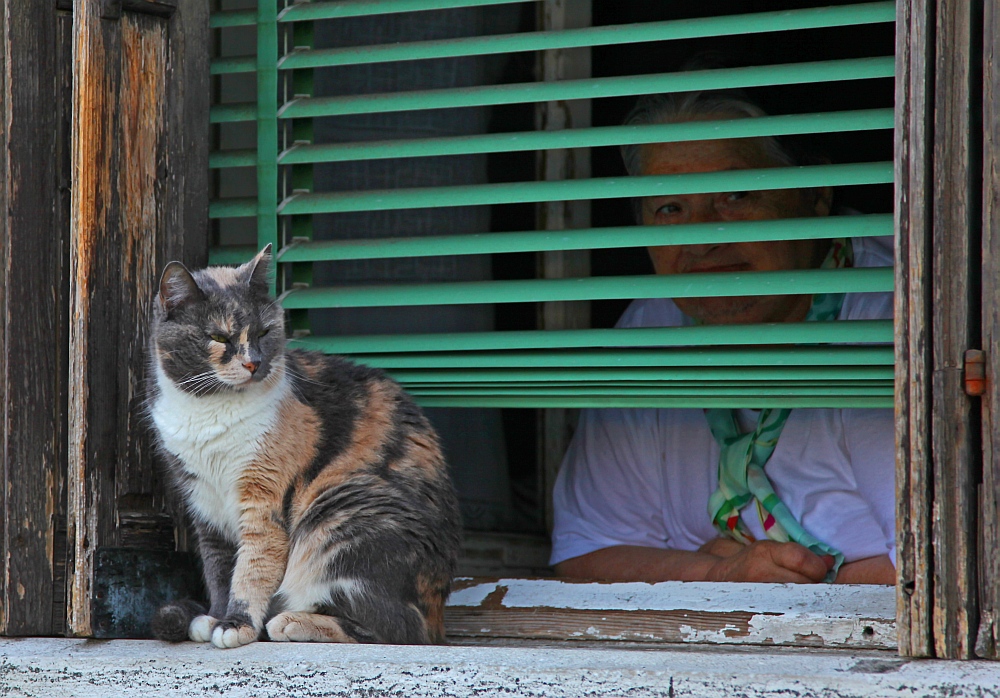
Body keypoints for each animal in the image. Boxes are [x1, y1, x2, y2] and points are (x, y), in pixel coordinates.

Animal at [147, 246, 460, 648]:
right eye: (218, 336)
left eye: (265, 332)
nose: (254, 362)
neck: (209, 409)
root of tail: (440, 612)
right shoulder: (205, 504)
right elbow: (218, 568)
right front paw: (215, 615)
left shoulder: (263, 497)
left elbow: (252, 567)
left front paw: (236, 624)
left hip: (343, 515)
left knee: (401, 629)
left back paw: (291, 622)